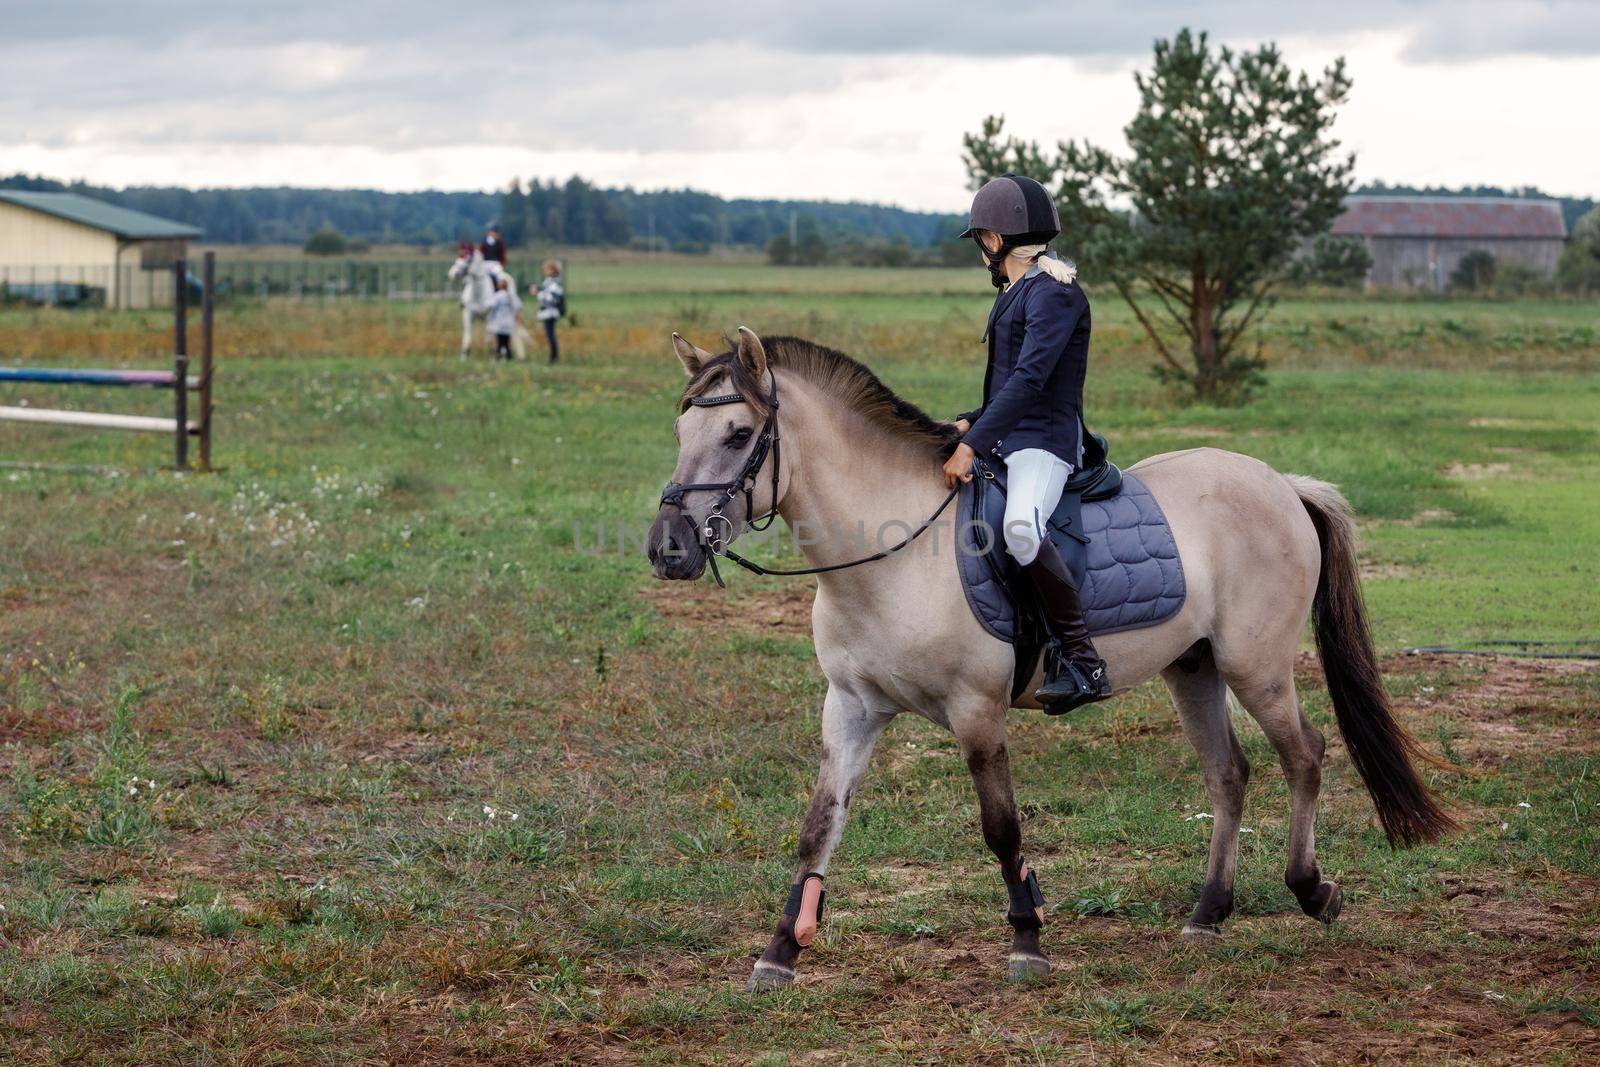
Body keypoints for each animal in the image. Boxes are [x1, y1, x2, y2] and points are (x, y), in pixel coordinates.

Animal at [643, 327, 1459, 991]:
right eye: (680, 426)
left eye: (738, 433)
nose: (667, 549)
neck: (893, 551)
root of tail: (1282, 483)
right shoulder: (850, 708)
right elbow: (819, 826)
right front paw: (779, 953)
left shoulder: (976, 711)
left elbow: (1001, 828)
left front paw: (1028, 941)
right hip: (1193, 668)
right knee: (1230, 774)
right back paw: (1208, 912)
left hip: (1255, 667)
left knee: (1305, 755)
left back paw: (1312, 889)